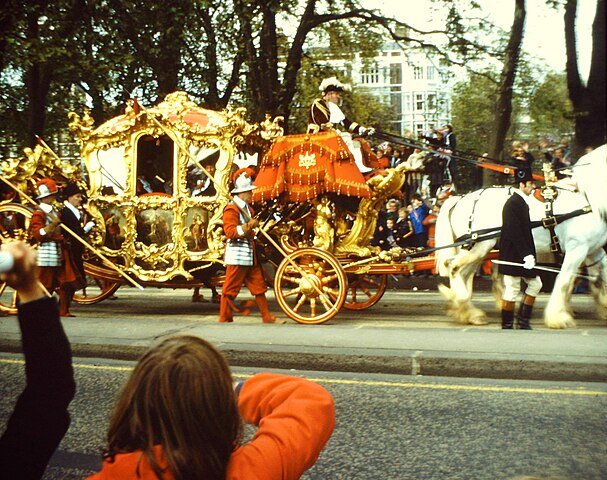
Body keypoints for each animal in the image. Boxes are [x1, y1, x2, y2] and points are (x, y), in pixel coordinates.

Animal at [436, 144, 607, 328]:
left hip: (479, 250)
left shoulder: (593, 250)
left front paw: (604, 306)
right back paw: (463, 304)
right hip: (479, 246)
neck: (588, 201)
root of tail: (460, 199)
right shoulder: (577, 248)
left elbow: (602, 274)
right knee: (454, 268)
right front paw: (558, 318)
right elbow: (564, 281)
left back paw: (469, 313)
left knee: (463, 274)